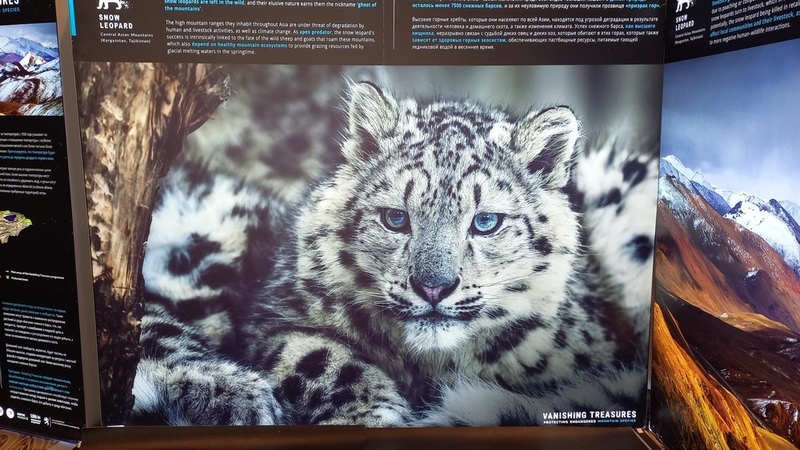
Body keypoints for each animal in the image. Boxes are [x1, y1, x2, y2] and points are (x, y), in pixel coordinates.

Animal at [130, 76, 657, 427]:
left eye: (486, 221)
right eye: (395, 218)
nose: (434, 287)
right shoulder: (276, 321)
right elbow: (323, 358)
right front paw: (371, 415)